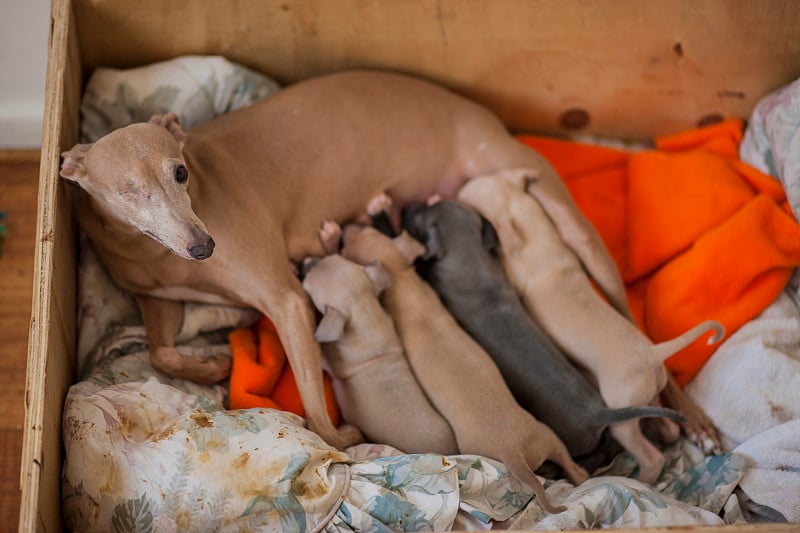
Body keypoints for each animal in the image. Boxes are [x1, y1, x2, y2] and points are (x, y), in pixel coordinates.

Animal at [340, 222, 592, 512]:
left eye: (349, 247)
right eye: (368, 233)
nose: (346, 227)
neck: (407, 289)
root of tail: (514, 453)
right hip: (546, 435)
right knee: (569, 463)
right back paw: (581, 475)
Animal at [456, 170, 724, 482]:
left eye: (464, 198)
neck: (531, 228)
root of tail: (651, 354)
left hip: (621, 418)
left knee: (652, 456)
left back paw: (639, 480)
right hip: (647, 398)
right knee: (669, 429)